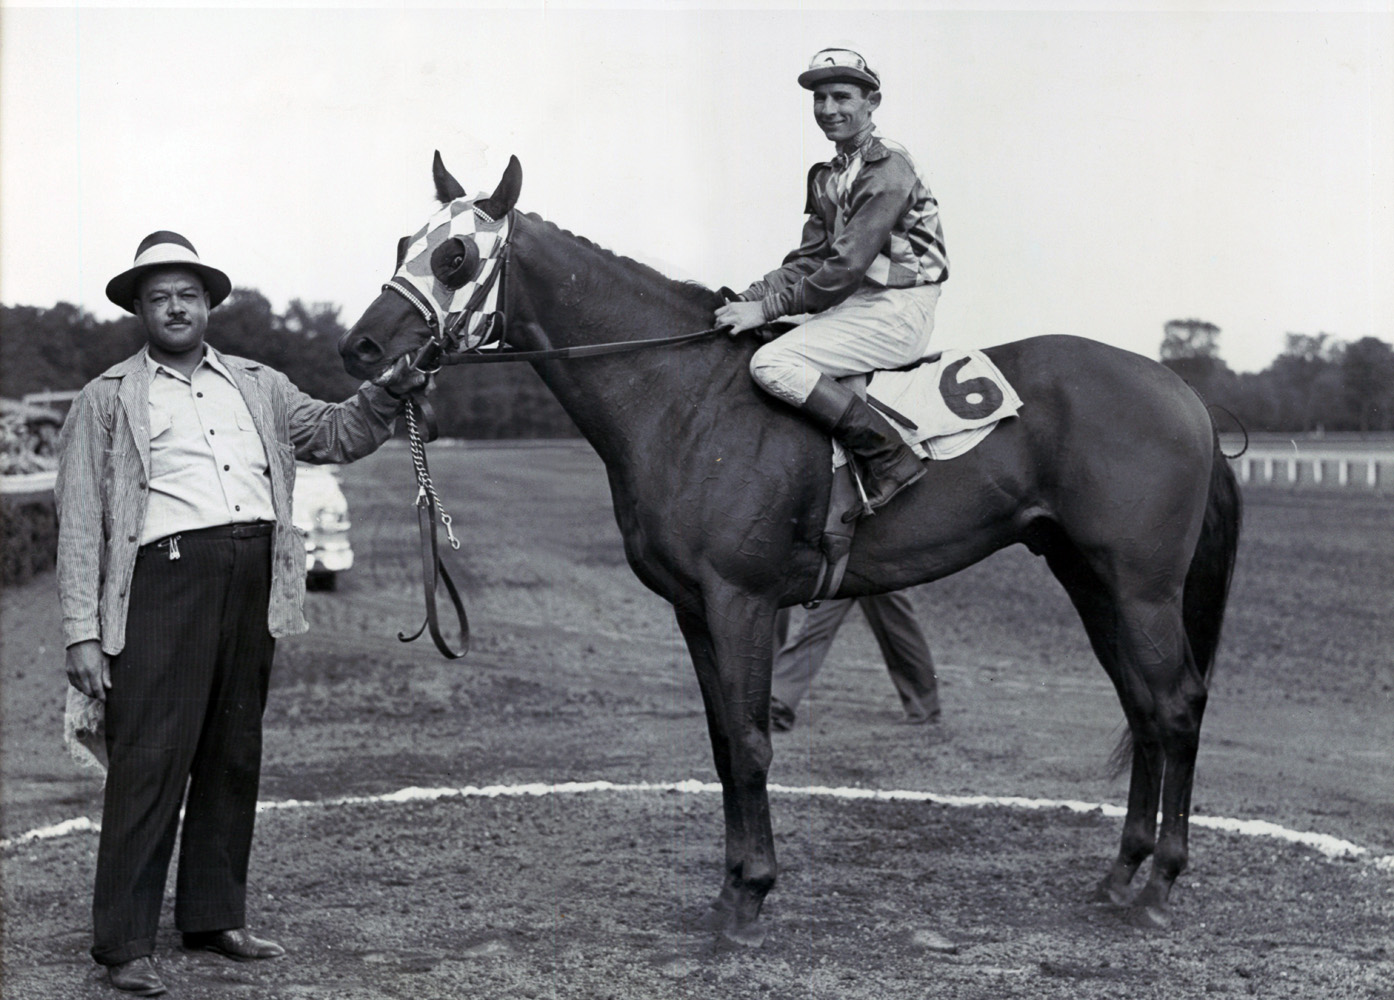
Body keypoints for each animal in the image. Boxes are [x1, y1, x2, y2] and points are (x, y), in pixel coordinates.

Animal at [337, 152, 1243, 942]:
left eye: (455, 253)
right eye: (402, 241)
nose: (361, 348)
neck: (687, 400)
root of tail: (1179, 390)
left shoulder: (740, 602)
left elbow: (749, 744)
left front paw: (749, 899)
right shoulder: (695, 611)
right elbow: (721, 745)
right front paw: (732, 886)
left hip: (1142, 589)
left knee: (1175, 705)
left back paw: (1159, 884)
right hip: (1090, 582)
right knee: (1142, 708)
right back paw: (1121, 874)